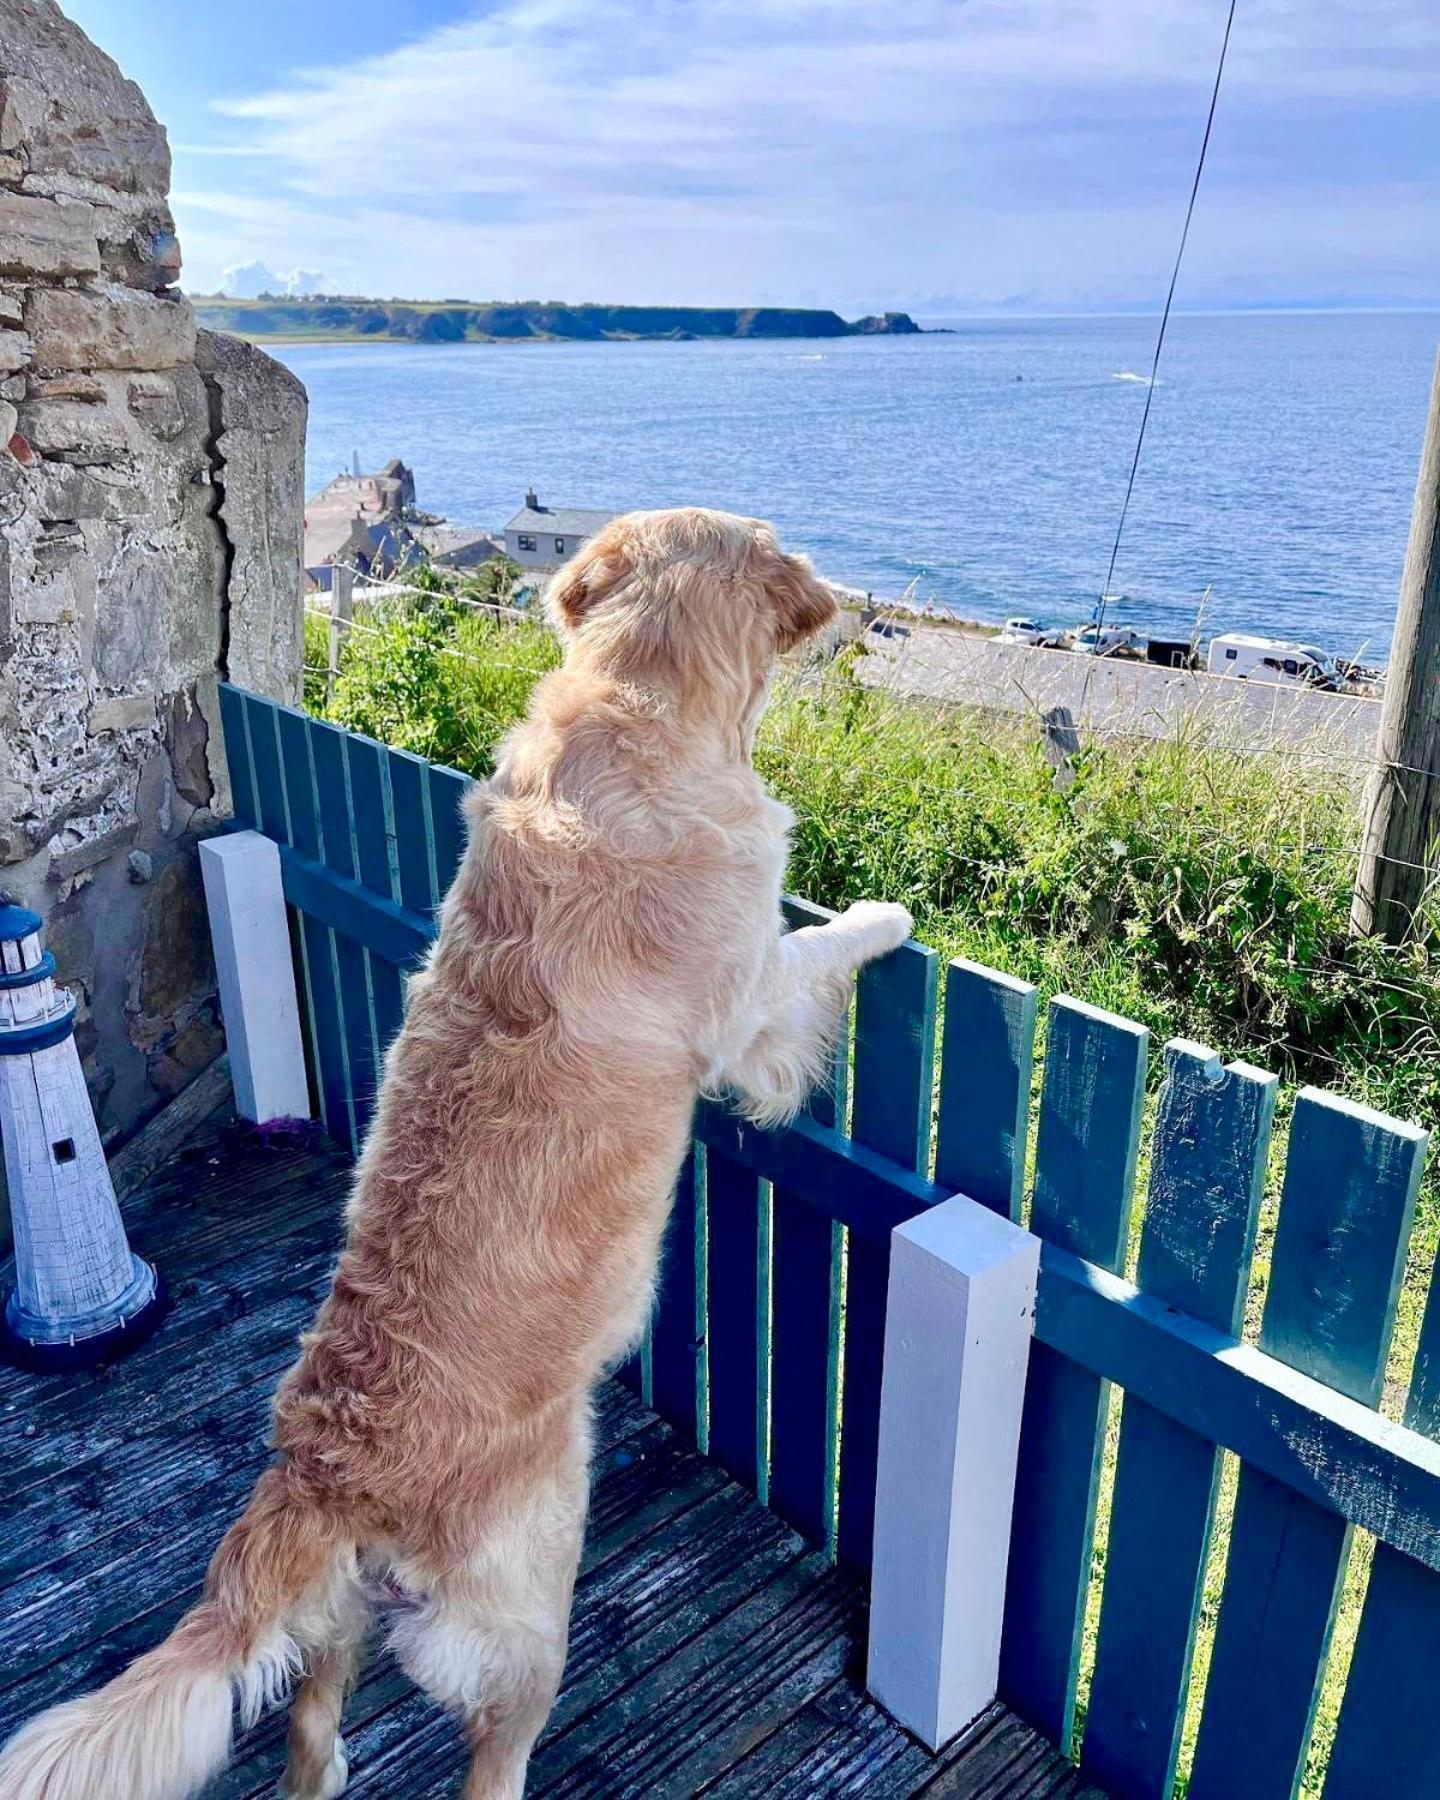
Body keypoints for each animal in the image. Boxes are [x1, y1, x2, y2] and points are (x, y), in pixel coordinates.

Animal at [0, 507, 910, 1800]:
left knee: (311, 1729)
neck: (636, 700)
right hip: (529, 1604)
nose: (854, 609)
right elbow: (817, 951)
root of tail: (322, 1476)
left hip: (339, 1625)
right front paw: (888, 917)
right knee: (494, 1752)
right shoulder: (749, 1004)